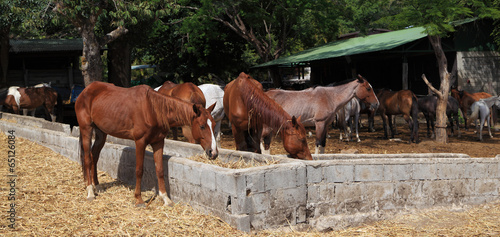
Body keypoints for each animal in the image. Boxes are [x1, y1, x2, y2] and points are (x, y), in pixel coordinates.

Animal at [75, 82, 216, 207]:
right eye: (202, 126)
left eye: (214, 125)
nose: (213, 152)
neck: (152, 109)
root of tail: (85, 91)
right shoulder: (140, 142)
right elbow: (139, 170)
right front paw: (139, 199)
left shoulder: (158, 142)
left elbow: (159, 170)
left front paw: (166, 199)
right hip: (86, 129)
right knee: (87, 158)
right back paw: (90, 192)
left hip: (101, 133)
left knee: (94, 156)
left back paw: (96, 186)